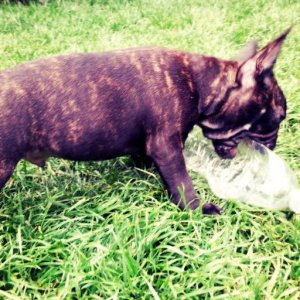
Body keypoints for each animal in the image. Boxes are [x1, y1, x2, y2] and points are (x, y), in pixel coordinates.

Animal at [0, 28, 290, 213]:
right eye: (278, 118)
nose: (273, 145)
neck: (199, 83)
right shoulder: (167, 146)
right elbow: (182, 182)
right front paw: (197, 209)